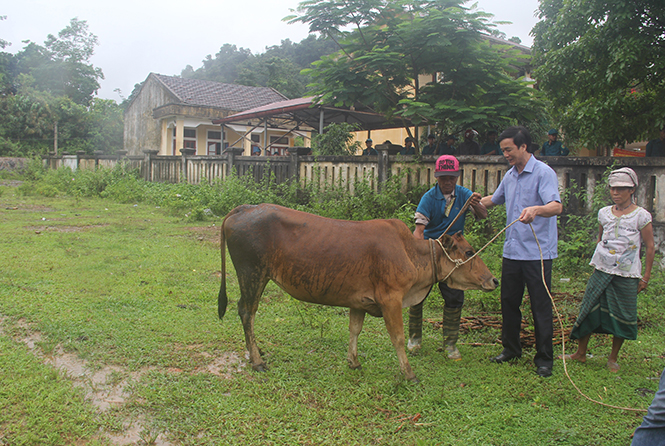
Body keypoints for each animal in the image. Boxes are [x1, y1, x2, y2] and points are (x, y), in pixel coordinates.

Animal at [219, 204, 498, 382]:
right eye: (469, 251)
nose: (494, 279)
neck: (410, 253)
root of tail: (243, 208)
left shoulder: (358, 301)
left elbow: (354, 330)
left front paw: (353, 361)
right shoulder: (391, 299)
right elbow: (397, 337)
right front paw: (409, 374)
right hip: (252, 273)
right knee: (246, 311)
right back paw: (257, 360)